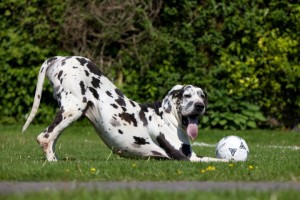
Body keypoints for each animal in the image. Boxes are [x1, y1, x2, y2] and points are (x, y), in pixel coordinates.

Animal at [22, 55, 227, 162]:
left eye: (202, 95)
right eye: (187, 96)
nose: (199, 105)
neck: (168, 117)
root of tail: (61, 58)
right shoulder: (187, 159)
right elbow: (222, 160)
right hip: (72, 110)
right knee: (45, 137)